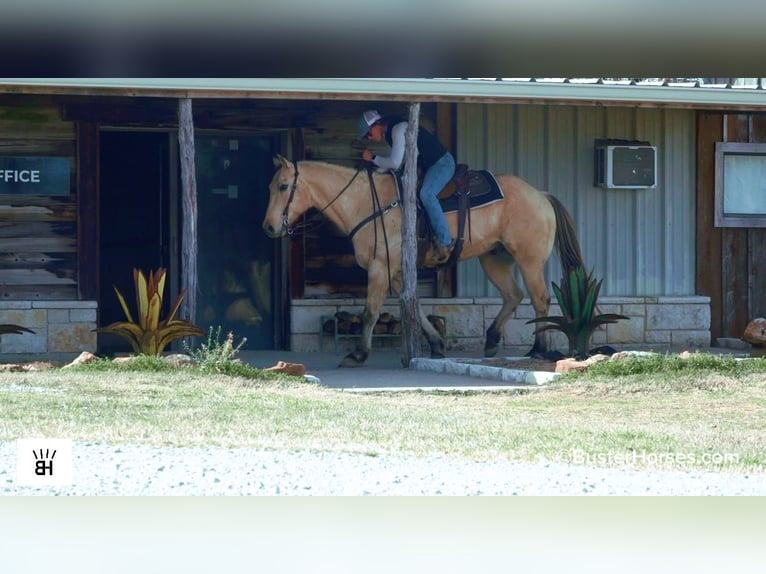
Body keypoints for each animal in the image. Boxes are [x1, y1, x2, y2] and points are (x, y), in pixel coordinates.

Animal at [262, 155, 585, 367]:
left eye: (283, 186)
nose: (269, 227)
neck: (368, 203)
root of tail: (540, 195)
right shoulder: (396, 272)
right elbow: (414, 305)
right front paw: (437, 345)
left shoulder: (380, 268)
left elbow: (371, 312)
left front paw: (358, 354)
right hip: (495, 258)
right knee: (513, 295)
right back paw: (493, 340)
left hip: (529, 260)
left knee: (539, 298)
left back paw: (538, 349)